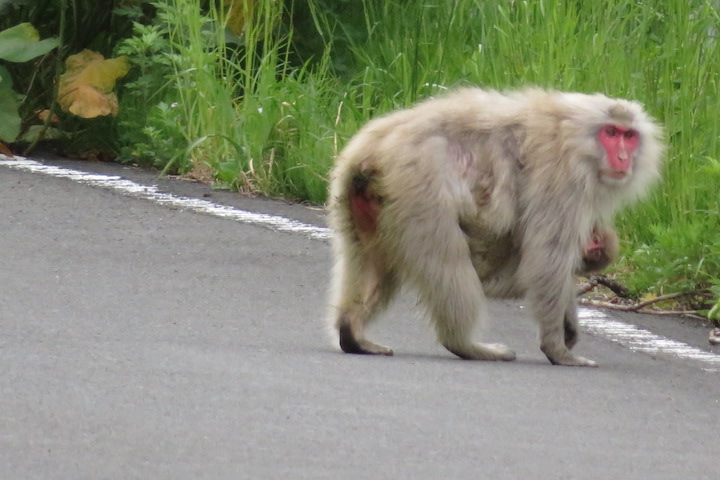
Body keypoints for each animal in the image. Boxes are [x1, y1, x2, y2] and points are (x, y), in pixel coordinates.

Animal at [328, 89, 664, 368]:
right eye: (611, 133)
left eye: (630, 135)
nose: (623, 157)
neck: (574, 135)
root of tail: (373, 151)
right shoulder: (562, 180)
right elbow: (546, 262)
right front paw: (557, 348)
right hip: (417, 190)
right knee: (448, 263)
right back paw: (465, 344)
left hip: (355, 196)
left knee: (373, 262)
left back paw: (352, 332)